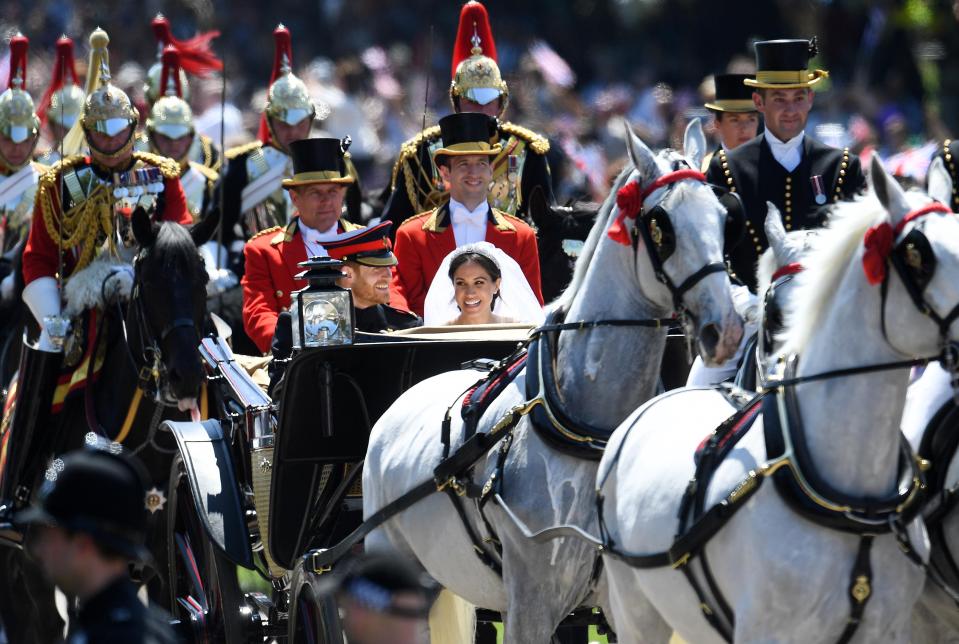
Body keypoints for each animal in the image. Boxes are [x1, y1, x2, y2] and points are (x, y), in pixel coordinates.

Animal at [360, 121, 744, 644]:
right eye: (660, 224)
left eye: (724, 218)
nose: (725, 329)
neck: (588, 429)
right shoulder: (532, 597)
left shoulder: (623, 602)